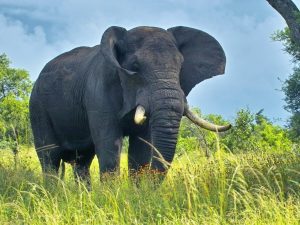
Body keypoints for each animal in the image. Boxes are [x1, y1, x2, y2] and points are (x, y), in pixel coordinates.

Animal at [29, 26, 231, 184]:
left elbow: (140, 149)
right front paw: (111, 198)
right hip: (37, 107)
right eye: (135, 67)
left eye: (181, 67)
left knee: (82, 161)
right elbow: (110, 146)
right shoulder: (98, 90)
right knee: (49, 157)